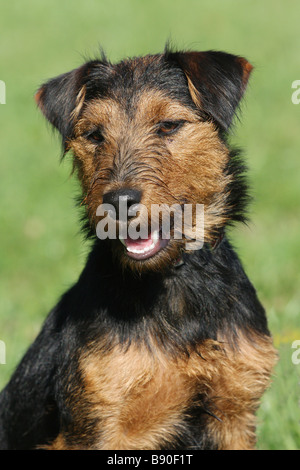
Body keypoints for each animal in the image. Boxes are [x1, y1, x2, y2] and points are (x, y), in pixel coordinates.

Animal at [0, 46, 276, 450]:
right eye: (94, 134)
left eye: (169, 125)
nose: (118, 201)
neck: (172, 282)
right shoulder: (99, 423)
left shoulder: (235, 414)